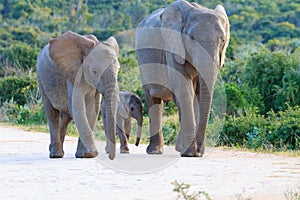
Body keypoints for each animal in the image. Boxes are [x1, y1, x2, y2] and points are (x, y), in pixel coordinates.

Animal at [36, 30, 118, 159]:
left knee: (65, 116)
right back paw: (56, 154)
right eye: (95, 71)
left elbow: (92, 110)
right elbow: (78, 107)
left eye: (118, 69)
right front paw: (91, 153)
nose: (110, 156)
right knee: (52, 114)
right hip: (41, 78)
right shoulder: (73, 74)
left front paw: (85, 155)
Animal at [135, 0, 230, 156]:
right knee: (153, 99)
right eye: (191, 39)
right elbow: (184, 89)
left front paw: (192, 152)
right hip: (143, 63)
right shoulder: (173, 48)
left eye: (222, 40)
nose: (200, 151)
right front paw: (190, 153)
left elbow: (198, 93)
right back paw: (155, 151)